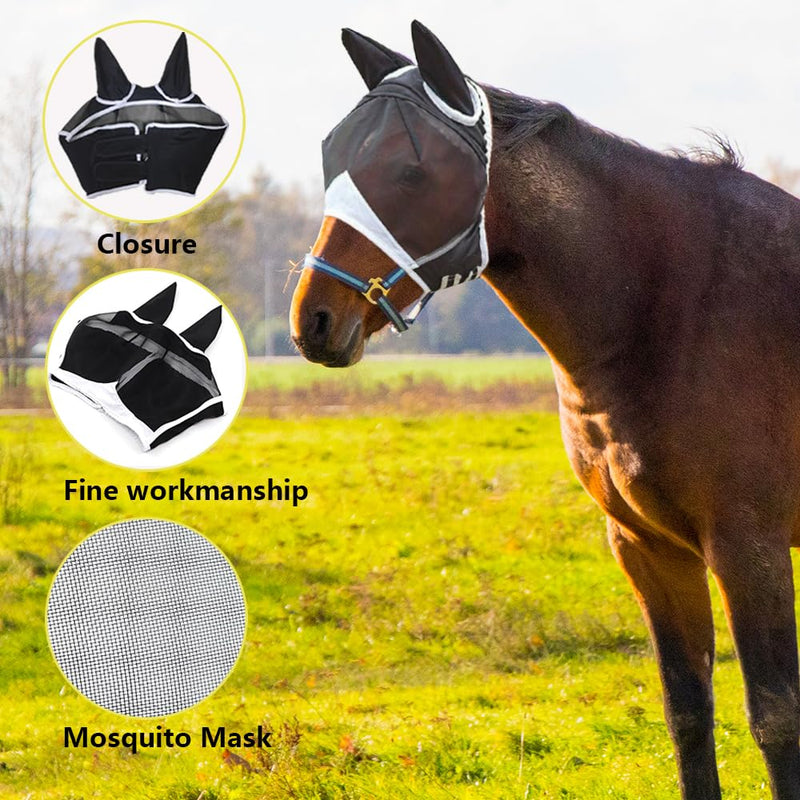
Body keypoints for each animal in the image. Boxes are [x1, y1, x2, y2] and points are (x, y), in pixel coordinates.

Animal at [289, 21, 800, 799]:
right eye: (333, 161)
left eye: (410, 173)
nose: (315, 319)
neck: (674, 302)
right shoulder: (649, 548)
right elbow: (687, 710)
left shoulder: (750, 548)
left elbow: (775, 719)